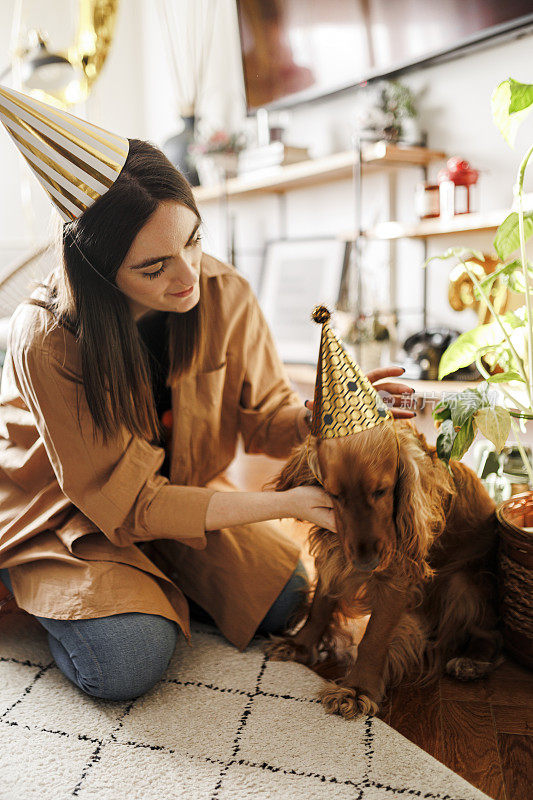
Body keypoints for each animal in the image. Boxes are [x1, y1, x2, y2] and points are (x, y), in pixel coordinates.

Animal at [266, 422, 502, 720]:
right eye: (335, 494)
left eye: (381, 491)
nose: (367, 562)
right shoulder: (336, 556)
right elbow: (319, 607)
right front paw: (299, 646)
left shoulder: (397, 576)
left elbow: (374, 638)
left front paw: (356, 690)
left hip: (463, 584)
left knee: (491, 631)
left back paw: (471, 661)